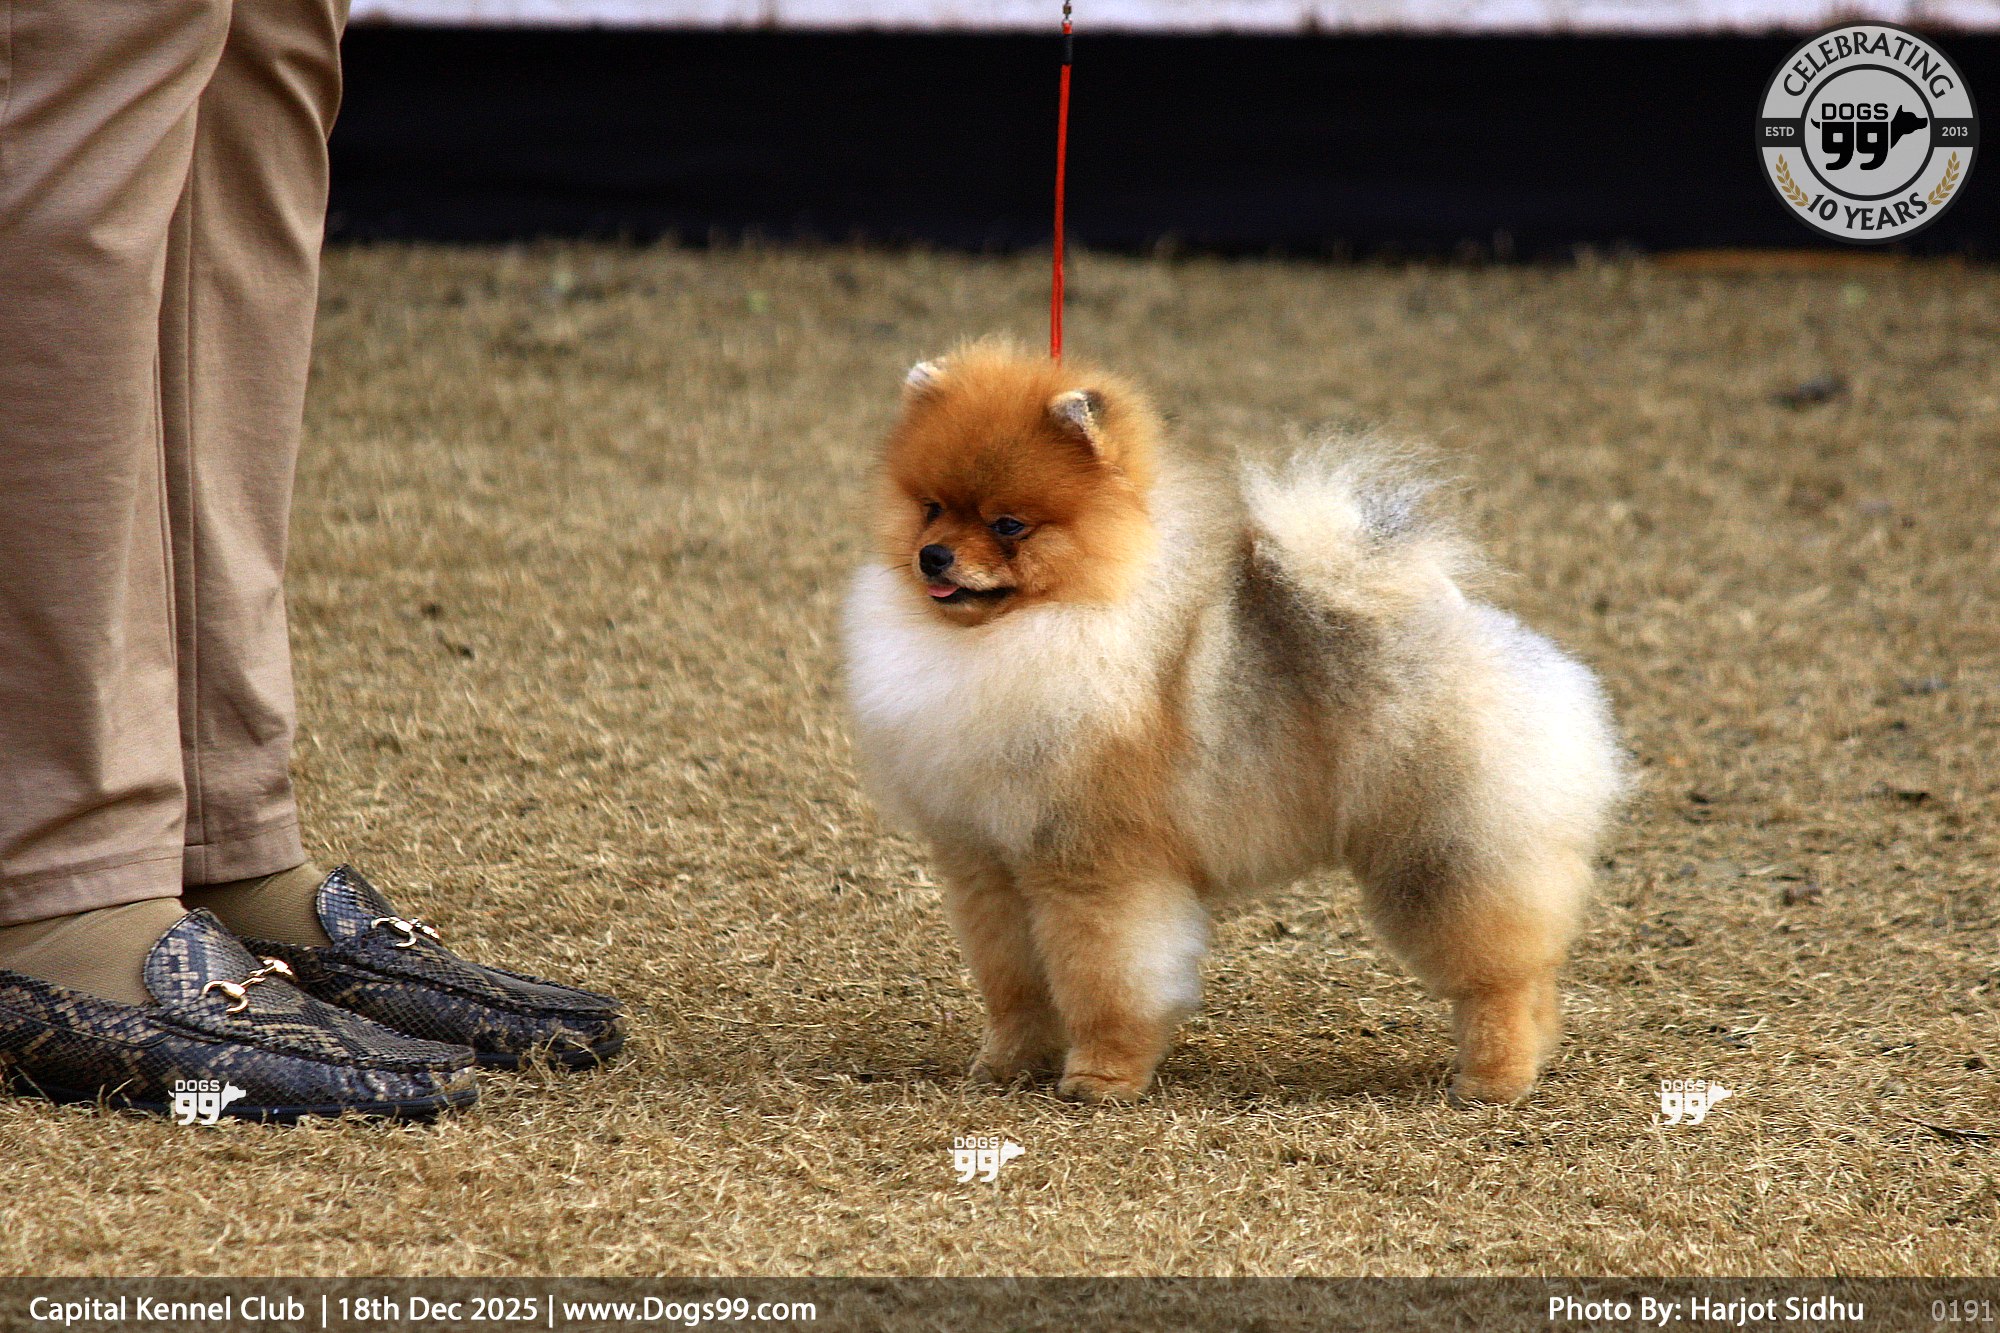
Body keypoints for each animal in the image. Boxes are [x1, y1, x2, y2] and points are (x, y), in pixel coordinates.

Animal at [842, 342, 1625, 1105]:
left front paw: (1102, 1078)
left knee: (1500, 972)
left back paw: (1495, 1077)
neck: (1026, 629)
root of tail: (1464, 622)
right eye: (930, 508)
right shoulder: (989, 861)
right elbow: (1012, 983)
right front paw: (1006, 1064)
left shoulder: (1096, 864)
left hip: (1442, 848)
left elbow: (1107, 980)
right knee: (1534, 971)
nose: (933, 557)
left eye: (1008, 525)